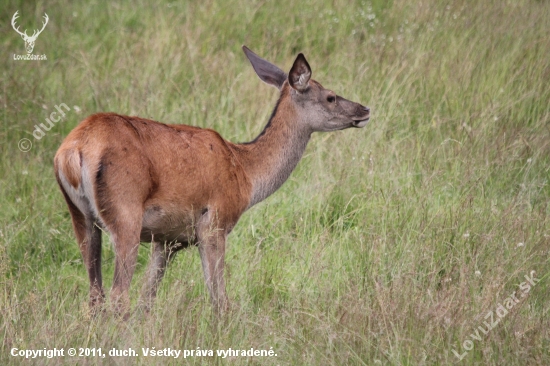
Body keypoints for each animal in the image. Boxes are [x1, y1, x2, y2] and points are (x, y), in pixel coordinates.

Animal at [55, 46, 370, 318]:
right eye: (330, 96)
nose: (364, 109)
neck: (245, 174)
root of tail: (72, 151)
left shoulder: (168, 240)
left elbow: (148, 299)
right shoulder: (214, 222)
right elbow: (220, 300)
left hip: (81, 216)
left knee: (96, 296)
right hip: (126, 213)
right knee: (118, 296)